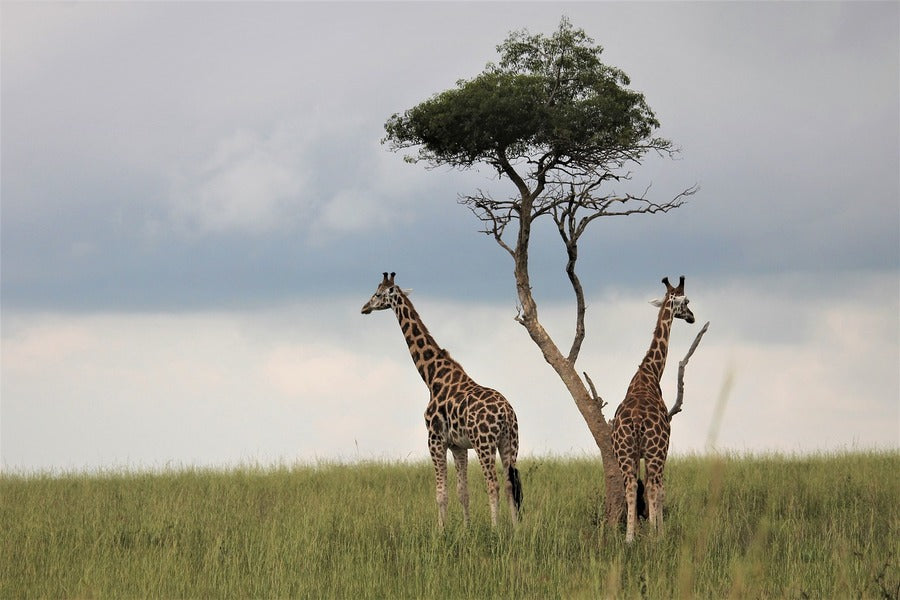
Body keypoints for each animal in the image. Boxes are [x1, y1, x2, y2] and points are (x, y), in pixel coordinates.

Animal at [362, 274, 524, 528]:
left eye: (377, 294)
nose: (364, 308)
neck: (432, 377)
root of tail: (506, 413)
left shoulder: (435, 440)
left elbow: (441, 493)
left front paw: (441, 530)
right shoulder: (458, 445)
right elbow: (462, 492)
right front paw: (466, 529)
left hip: (484, 442)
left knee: (493, 484)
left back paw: (496, 529)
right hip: (510, 442)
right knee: (509, 484)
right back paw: (517, 530)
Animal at [612, 276, 696, 544]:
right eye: (685, 301)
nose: (692, 317)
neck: (649, 374)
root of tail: (637, 421)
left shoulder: (638, 455)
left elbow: (643, 487)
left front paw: (643, 531)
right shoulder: (662, 450)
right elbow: (659, 489)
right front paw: (659, 532)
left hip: (624, 452)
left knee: (630, 486)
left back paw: (629, 538)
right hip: (655, 451)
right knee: (653, 486)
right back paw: (651, 537)